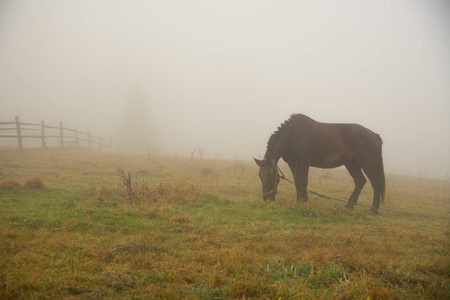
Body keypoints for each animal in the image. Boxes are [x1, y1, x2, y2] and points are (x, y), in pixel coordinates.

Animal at [255, 113, 384, 214]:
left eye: (270, 175)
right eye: (260, 176)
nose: (266, 199)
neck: (293, 135)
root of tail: (375, 135)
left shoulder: (303, 161)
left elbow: (303, 181)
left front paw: (304, 201)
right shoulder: (292, 163)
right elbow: (297, 181)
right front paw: (299, 200)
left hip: (368, 165)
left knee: (376, 183)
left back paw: (373, 210)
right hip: (352, 164)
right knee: (360, 181)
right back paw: (349, 206)